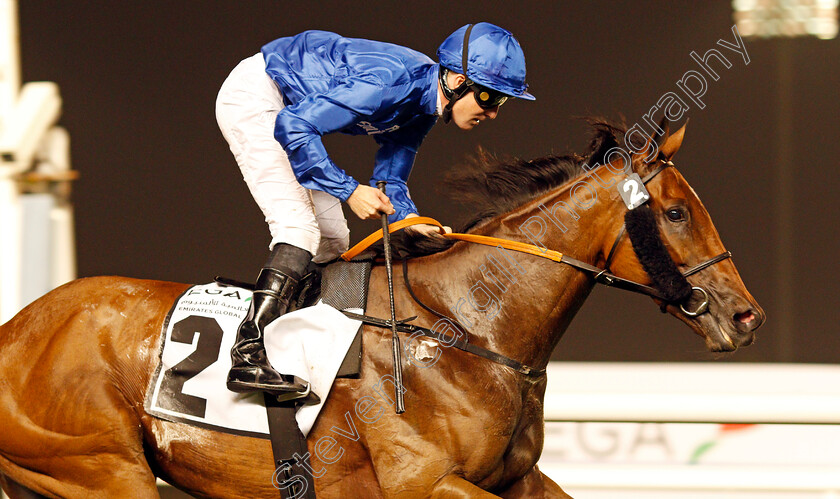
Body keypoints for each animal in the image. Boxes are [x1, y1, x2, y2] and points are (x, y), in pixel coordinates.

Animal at [0, 122, 760, 499]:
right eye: (675, 212)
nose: (746, 315)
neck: (466, 330)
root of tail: (17, 330)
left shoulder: (519, 482)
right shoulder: (421, 482)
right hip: (100, 467)